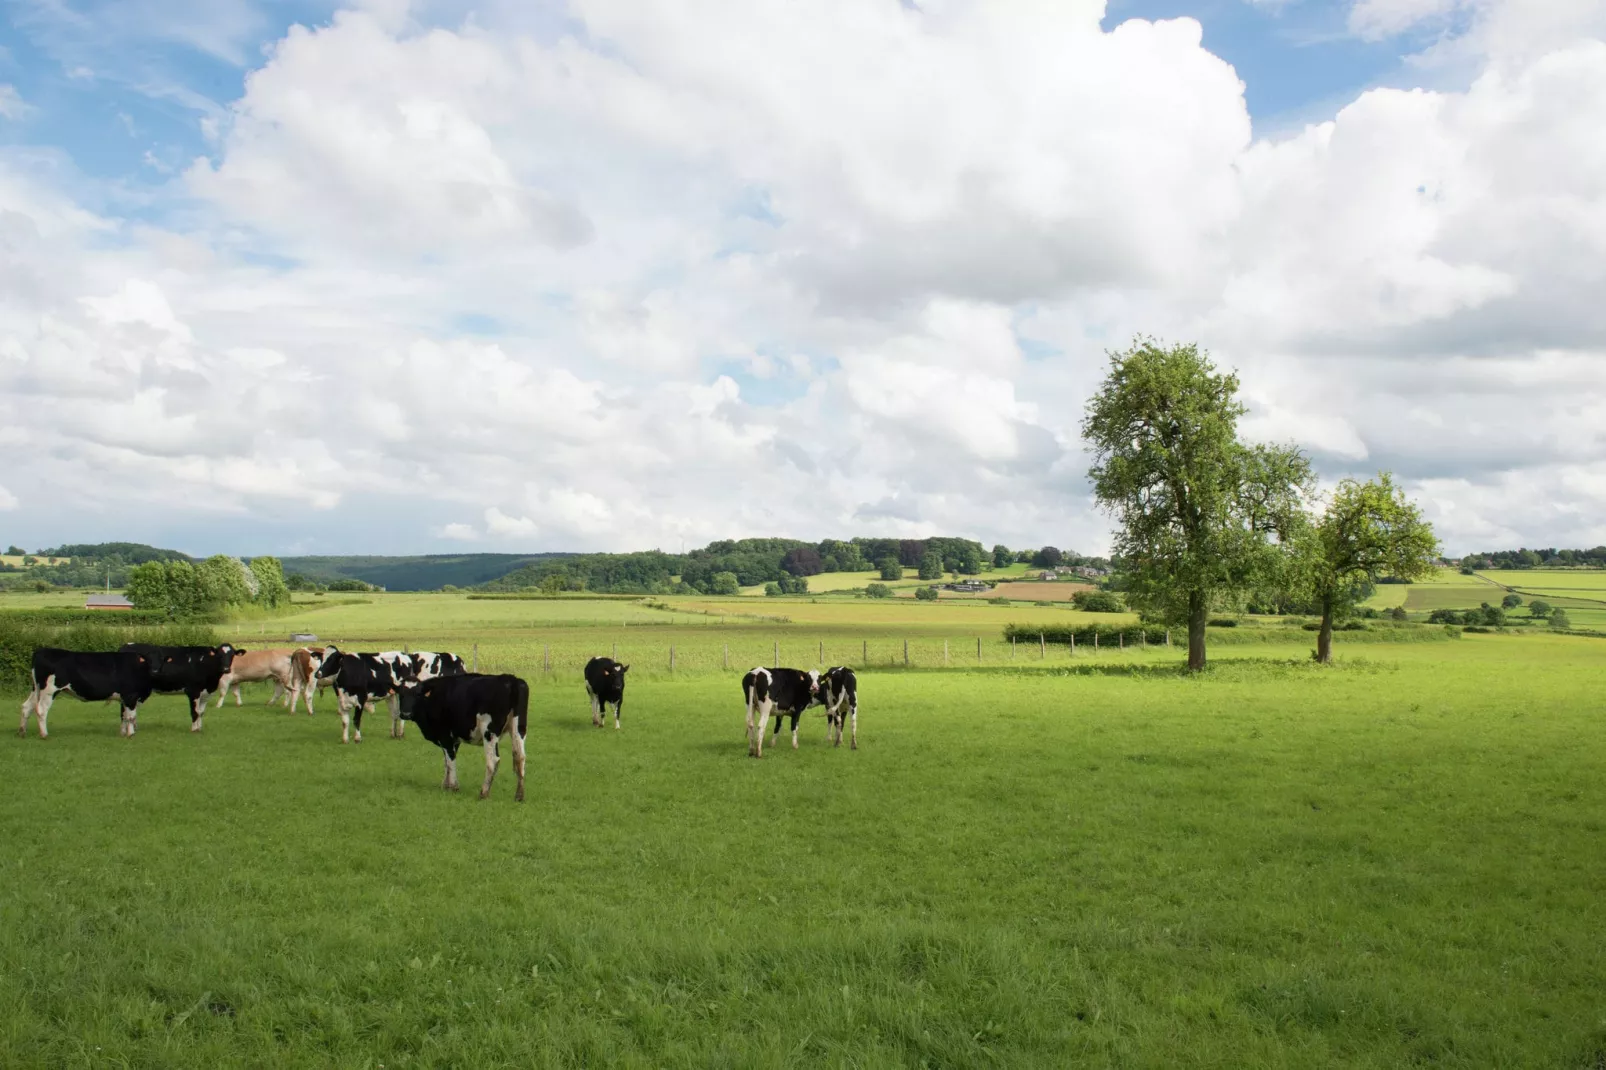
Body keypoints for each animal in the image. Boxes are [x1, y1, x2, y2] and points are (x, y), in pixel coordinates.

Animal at [18, 645, 154, 739]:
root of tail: (42, 651)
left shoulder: (125, 698)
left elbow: (124, 715)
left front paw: (123, 733)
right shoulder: (131, 696)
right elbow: (131, 716)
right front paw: (131, 734)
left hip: (36, 689)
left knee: (27, 707)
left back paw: (22, 732)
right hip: (49, 691)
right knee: (41, 710)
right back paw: (44, 734)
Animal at [398, 671, 529, 796]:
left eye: (417, 694)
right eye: (401, 694)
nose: (405, 714)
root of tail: (511, 679)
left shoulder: (445, 736)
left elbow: (451, 761)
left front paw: (453, 787)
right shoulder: (454, 740)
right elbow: (447, 762)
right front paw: (445, 785)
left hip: (489, 732)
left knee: (493, 760)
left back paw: (484, 793)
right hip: (519, 728)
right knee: (520, 756)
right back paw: (519, 795)